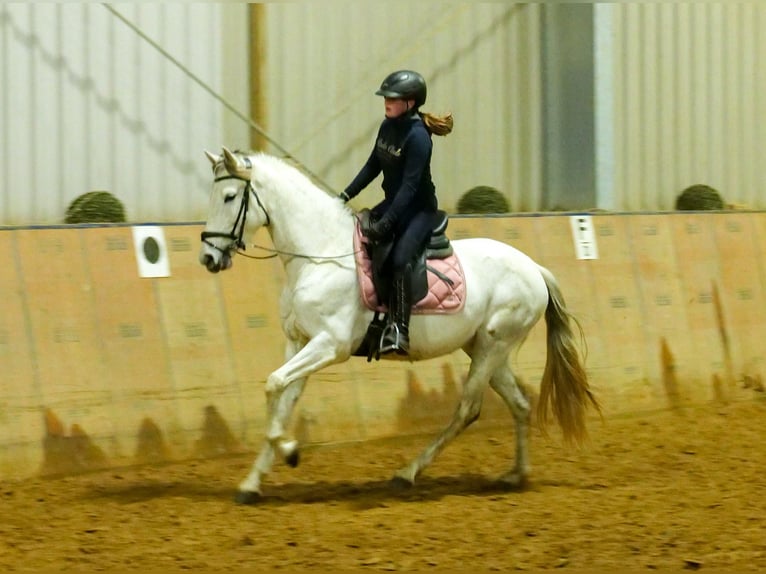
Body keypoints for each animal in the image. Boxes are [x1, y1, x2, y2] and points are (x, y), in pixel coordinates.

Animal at [198, 147, 600, 504]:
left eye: (230, 196)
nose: (208, 258)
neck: (319, 255)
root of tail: (534, 268)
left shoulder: (330, 345)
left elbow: (273, 385)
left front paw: (291, 450)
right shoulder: (299, 342)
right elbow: (282, 395)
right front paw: (252, 483)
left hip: (492, 346)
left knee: (467, 409)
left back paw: (407, 474)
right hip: (486, 350)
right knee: (518, 404)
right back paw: (516, 475)